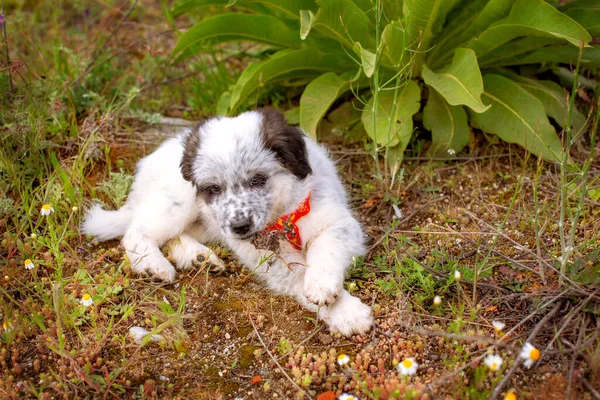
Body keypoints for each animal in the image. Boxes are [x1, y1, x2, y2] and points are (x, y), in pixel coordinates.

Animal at [82, 108, 372, 336]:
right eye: (214, 188)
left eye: (257, 180)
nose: (240, 227)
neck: (283, 218)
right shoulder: (267, 257)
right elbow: (299, 275)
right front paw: (347, 312)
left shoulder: (337, 223)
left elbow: (325, 251)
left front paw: (322, 286)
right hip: (181, 201)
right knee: (135, 231)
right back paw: (155, 265)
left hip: (207, 222)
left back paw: (199, 257)